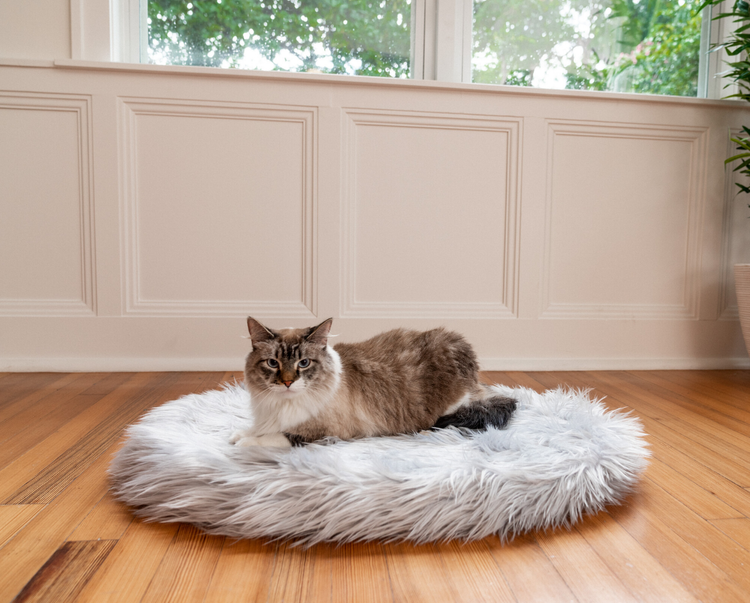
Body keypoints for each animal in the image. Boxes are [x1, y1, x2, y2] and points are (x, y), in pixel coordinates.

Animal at [229, 316, 520, 448]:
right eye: (273, 363)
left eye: (304, 363)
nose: (288, 383)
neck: (282, 403)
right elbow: (256, 429)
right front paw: (240, 434)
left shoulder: (329, 432)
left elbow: (277, 435)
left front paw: (244, 443)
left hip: (453, 398)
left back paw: (426, 433)